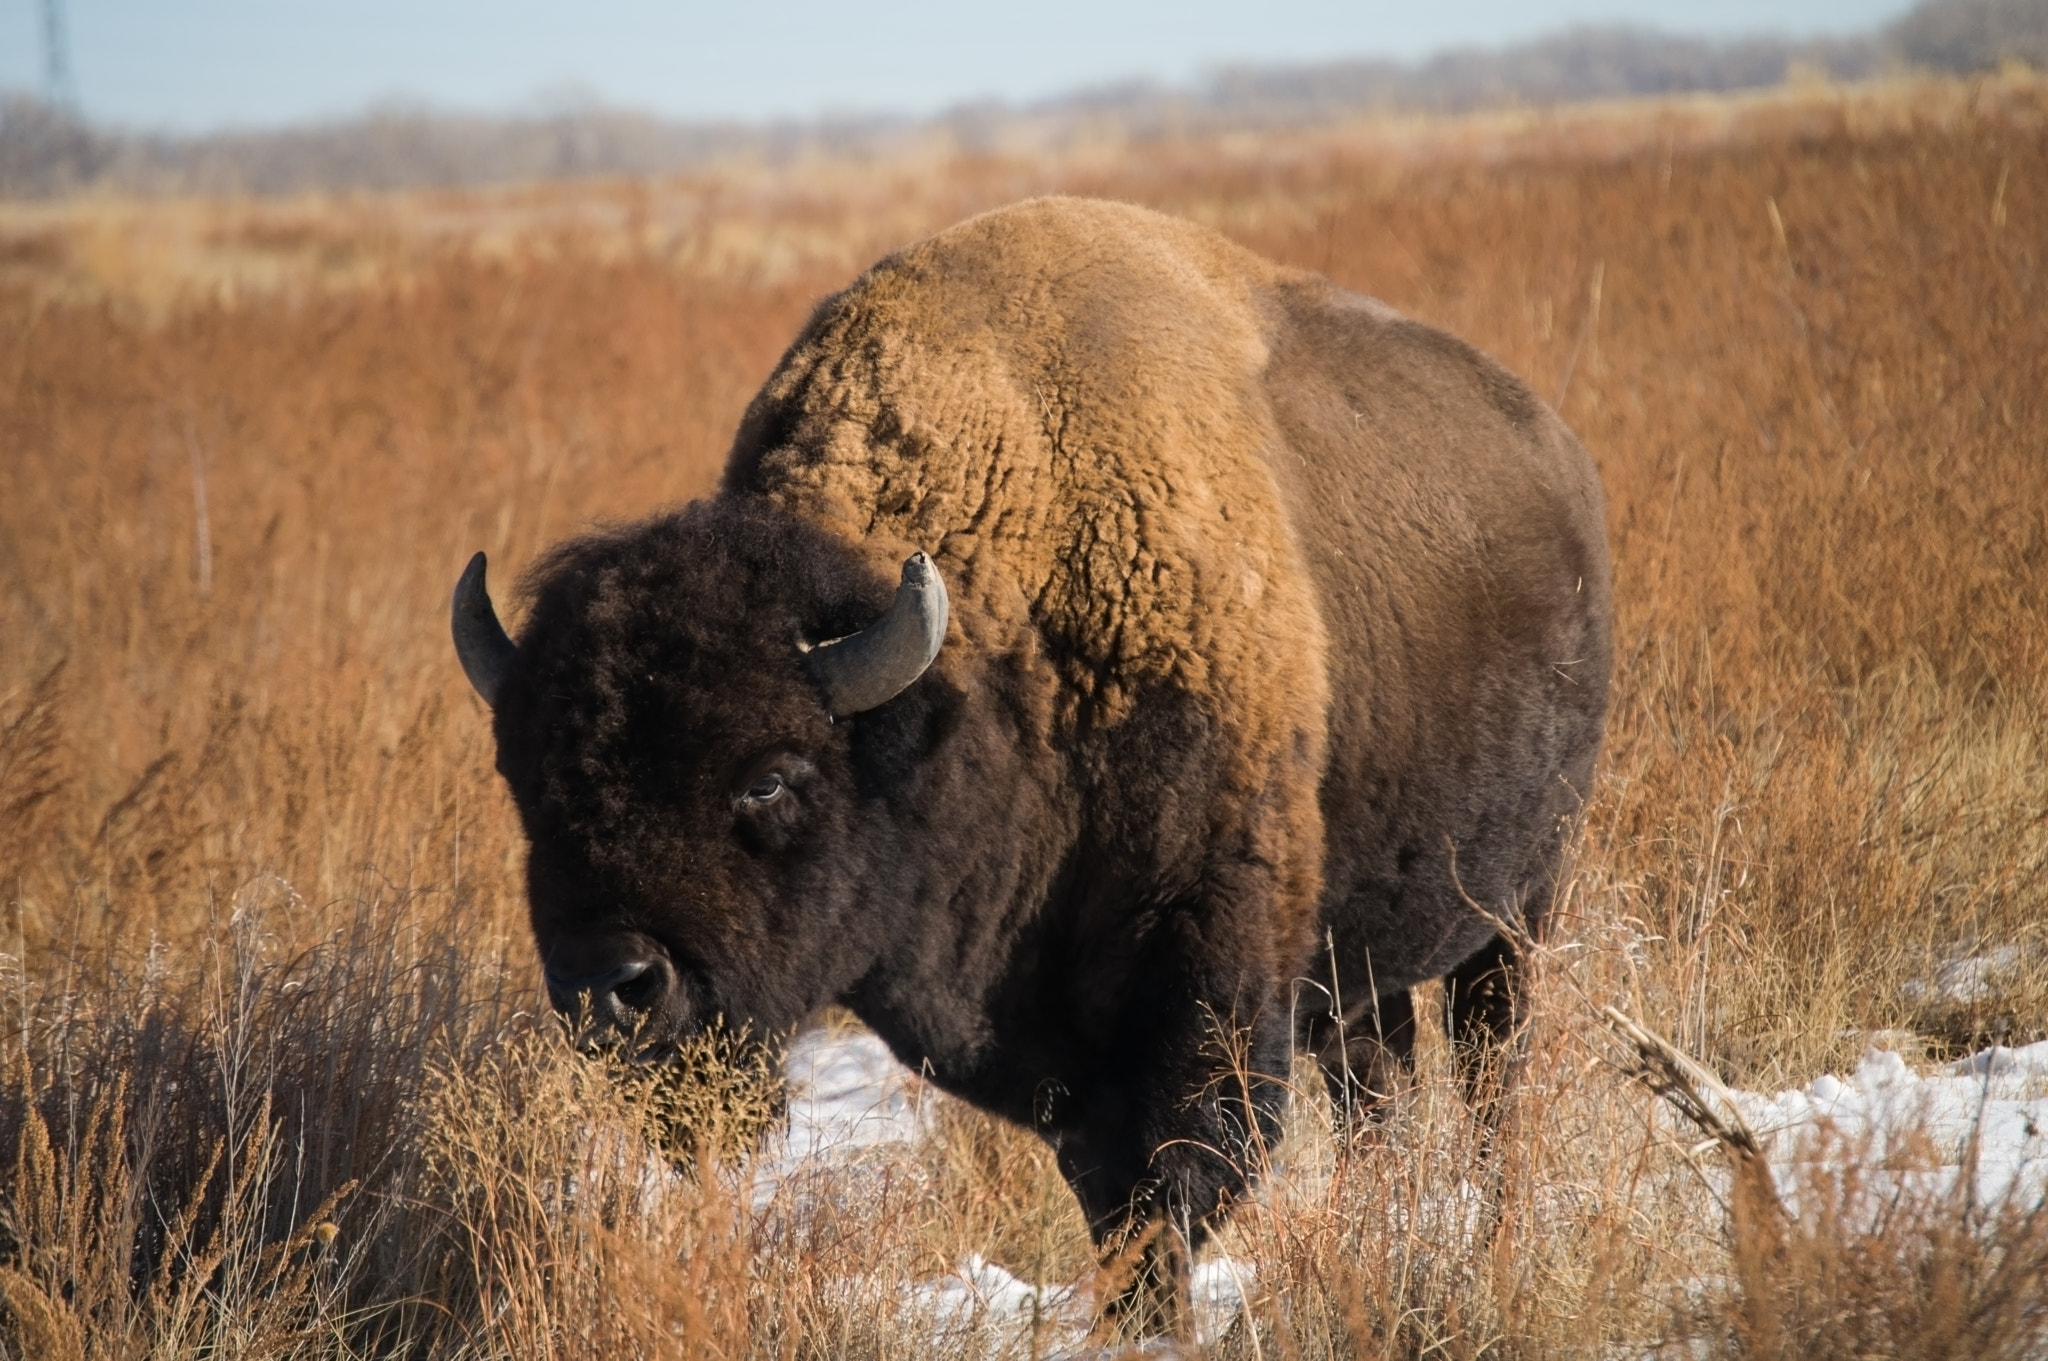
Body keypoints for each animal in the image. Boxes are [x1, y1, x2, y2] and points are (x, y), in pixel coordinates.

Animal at [452, 196, 1612, 1334]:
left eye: (769, 776)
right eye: (526, 780)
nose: (610, 989)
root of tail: (1561, 458)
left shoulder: (1202, 975)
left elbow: (1176, 1177)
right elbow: (1111, 1192)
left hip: (1517, 902)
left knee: (1490, 1064)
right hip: (1363, 953)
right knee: (1381, 1082)